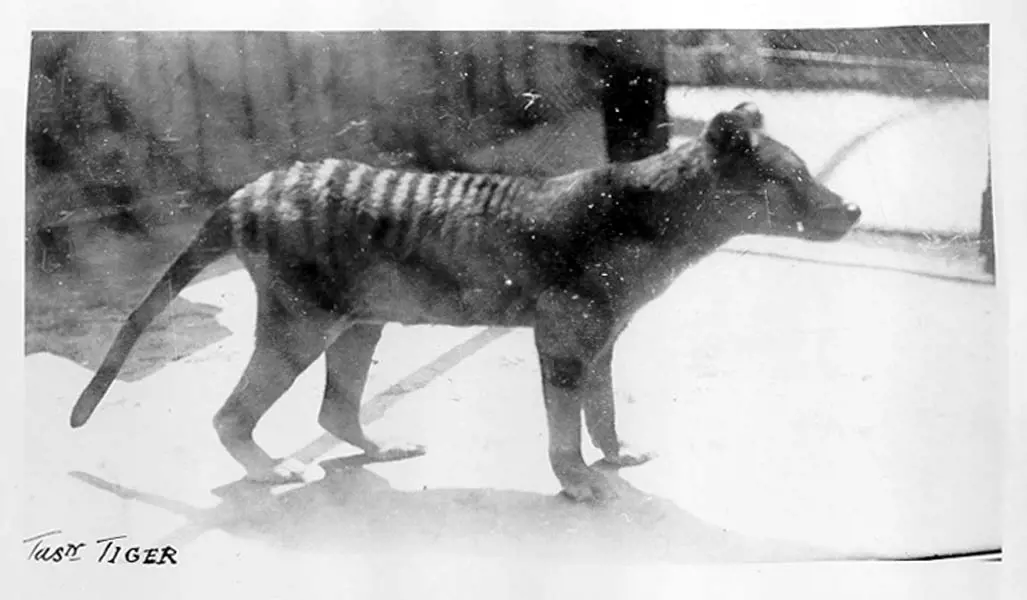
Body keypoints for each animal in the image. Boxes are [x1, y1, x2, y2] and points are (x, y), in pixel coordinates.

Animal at [70, 102, 861, 503]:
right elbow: (565, 422)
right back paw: (271, 472)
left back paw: (379, 448)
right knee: (233, 414)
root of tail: (243, 193)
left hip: (361, 321)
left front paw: (614, 454)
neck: (652, 215)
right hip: (299, 324)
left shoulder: (605, 335)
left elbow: (603, 408)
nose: (852, 209)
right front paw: (576, 480)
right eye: (791, 179)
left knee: (335, 409)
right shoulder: (563, 336)